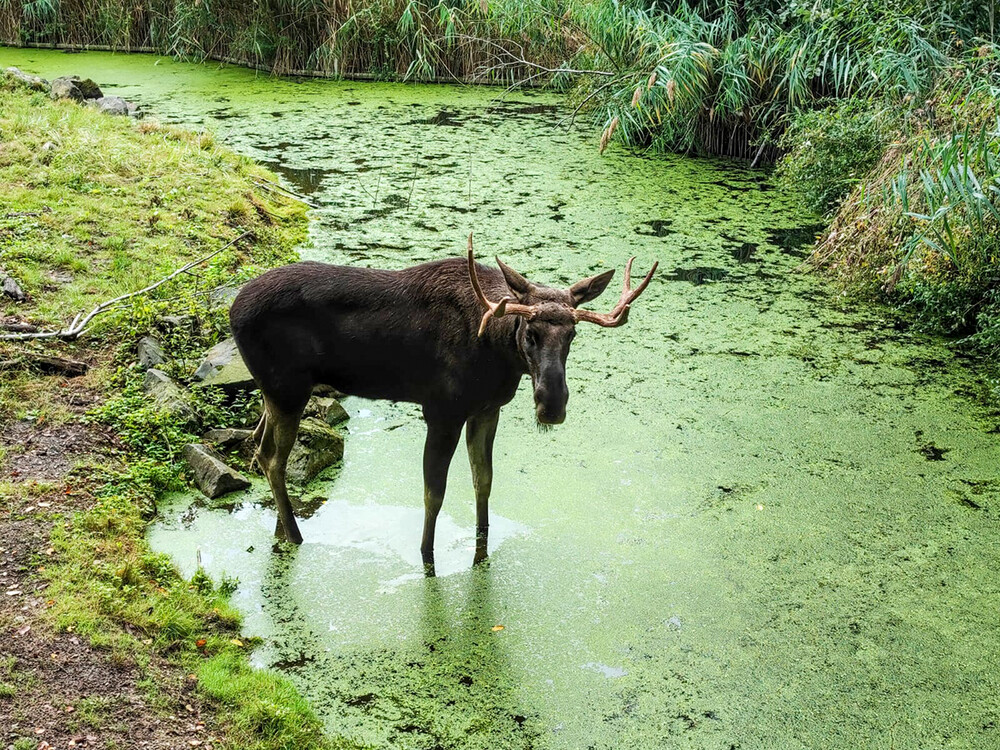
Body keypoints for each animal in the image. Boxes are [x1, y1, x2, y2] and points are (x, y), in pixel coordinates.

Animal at [230, 238, 660, 572]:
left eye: (572, 334)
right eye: (531, 332)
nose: (552, 405)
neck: (495, 350)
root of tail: (232, 309)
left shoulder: (487, 408)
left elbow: (484, 479)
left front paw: (482, 543)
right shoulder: (442, 411)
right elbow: (433, 492)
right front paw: (426, 555)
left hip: (275, 393)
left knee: (258, 444)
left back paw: (280, 527)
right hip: (287, 389)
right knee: (272, 458)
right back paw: (295, 536)